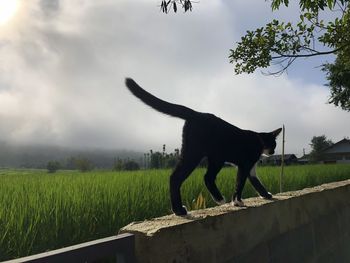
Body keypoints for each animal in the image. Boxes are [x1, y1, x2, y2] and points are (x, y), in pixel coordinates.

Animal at [124, 78, 280, 217]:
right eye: (272, 144)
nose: (273, 152)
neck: (258, 141)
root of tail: (196, 113)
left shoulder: (250, 168)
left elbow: (256, 182)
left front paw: (266, 195)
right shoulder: (245, 164)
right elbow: (240, 183)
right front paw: (237, 201)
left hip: (211, 156)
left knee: (200, 177)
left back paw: (181, 209)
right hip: (201, 153)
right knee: (189, 177)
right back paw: (195, 206)